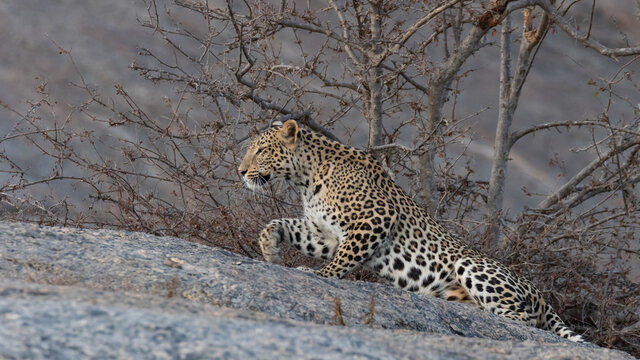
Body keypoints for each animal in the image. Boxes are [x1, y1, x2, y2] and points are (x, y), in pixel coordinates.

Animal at [238, 119, 584, 342]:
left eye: (260, 151)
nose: (241, 171)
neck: (306, 178)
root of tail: (539, 291)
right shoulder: (322, 234)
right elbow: (279, 225)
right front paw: (270, 250)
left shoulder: (375, 219)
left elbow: (342, 260)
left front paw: (318, 275)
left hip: (472, 265)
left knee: (525, 319)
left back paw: (494, 319)